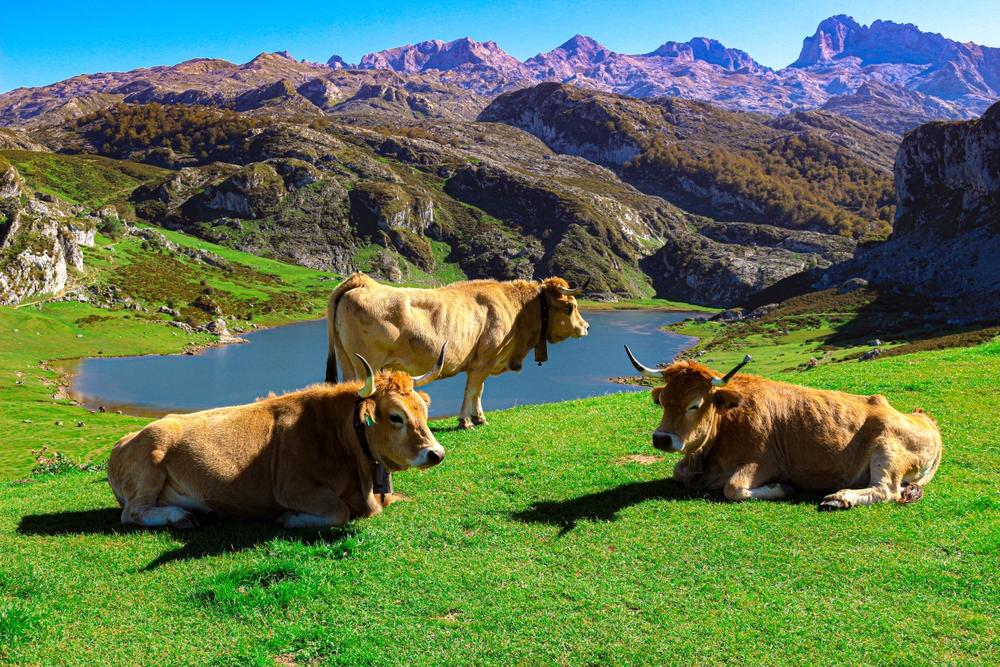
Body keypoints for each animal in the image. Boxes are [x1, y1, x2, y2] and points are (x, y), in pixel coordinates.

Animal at [106, 350, 446, 532]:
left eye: (424, 410)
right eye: (396, 417)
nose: (436, 453)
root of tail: (123, 441)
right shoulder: (292, 488)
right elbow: (339, 512)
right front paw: (289, 519)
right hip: (153, 452)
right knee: (132, 511)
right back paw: (180, 516)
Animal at [328, 274, 592, 430]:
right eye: (569, 307)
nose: (586, 327)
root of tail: (362, 281)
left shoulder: (483, 362)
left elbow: (479, 391)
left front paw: (479, 417)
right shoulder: (485, 359)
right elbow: (472, 389)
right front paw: (466, 421)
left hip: (346, 361)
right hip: (368, 363)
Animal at [624, 348, 944, 508]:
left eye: (694, 404)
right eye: (663, 401)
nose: (662, 439)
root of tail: (926, 420)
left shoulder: (766, 461)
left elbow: (733, 487)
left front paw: (781, 488)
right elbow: (679, 472)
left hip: (886, 448)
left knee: (886, 490)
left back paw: (840, 498)